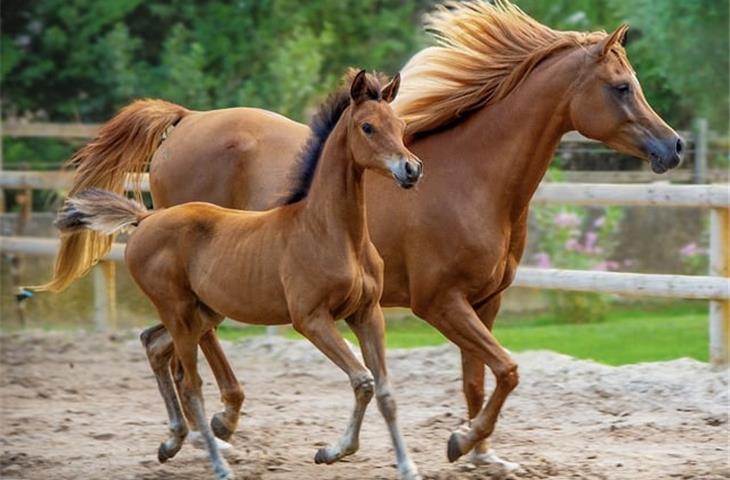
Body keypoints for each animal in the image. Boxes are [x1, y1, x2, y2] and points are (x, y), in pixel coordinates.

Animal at [54, 72, 424, 480]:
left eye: (400, 125)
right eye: (368, 127)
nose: (411, 169)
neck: (331, 231)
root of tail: (146, 218)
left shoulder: (366, 314)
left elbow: (384, 391)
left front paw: (407, 467)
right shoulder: (310, 319)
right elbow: (363, 380)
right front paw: (333, 451)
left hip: (199, 311)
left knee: (154, 344)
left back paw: (174, 441)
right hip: (180, 312)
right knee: (191, 385)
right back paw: (217, 458)